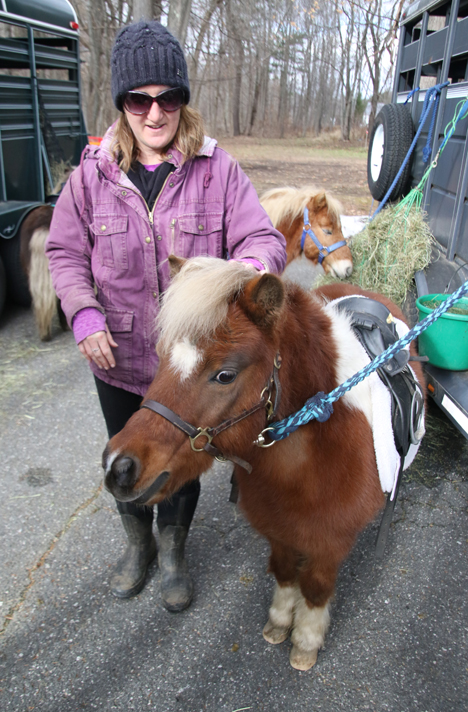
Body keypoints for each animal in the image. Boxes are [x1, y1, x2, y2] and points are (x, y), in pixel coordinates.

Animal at [103, 258, 424, 672]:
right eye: (161, 358)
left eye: (225, 374)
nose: (119, 467)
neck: (305, 470)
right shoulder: (278, 532)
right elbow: (285, 573)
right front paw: (280, 622)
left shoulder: (331, 543)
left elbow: (315, 587)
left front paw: (306, 640)